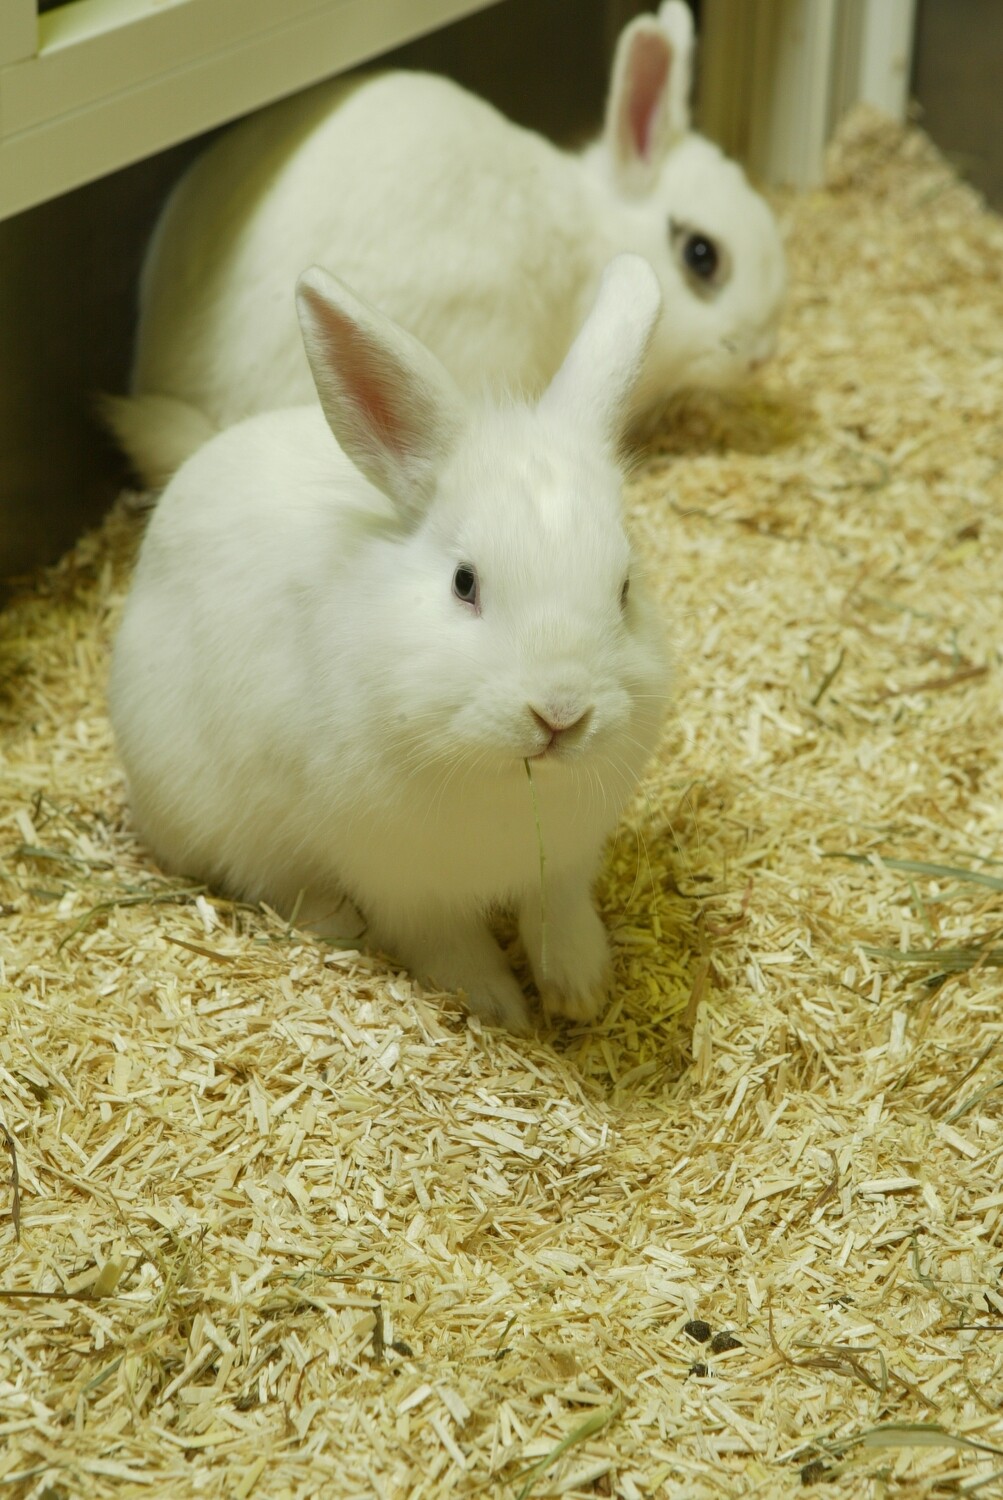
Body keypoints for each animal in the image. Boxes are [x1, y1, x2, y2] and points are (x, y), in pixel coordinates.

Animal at [109, 253, 671, 1034]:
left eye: (623, 589)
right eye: (464, 583)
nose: (560, 713)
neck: (512, 786)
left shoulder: (563, 862)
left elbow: (557, 916)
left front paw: (580, 993)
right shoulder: (402, 882)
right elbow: (449, 944)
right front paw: (501, 1009)